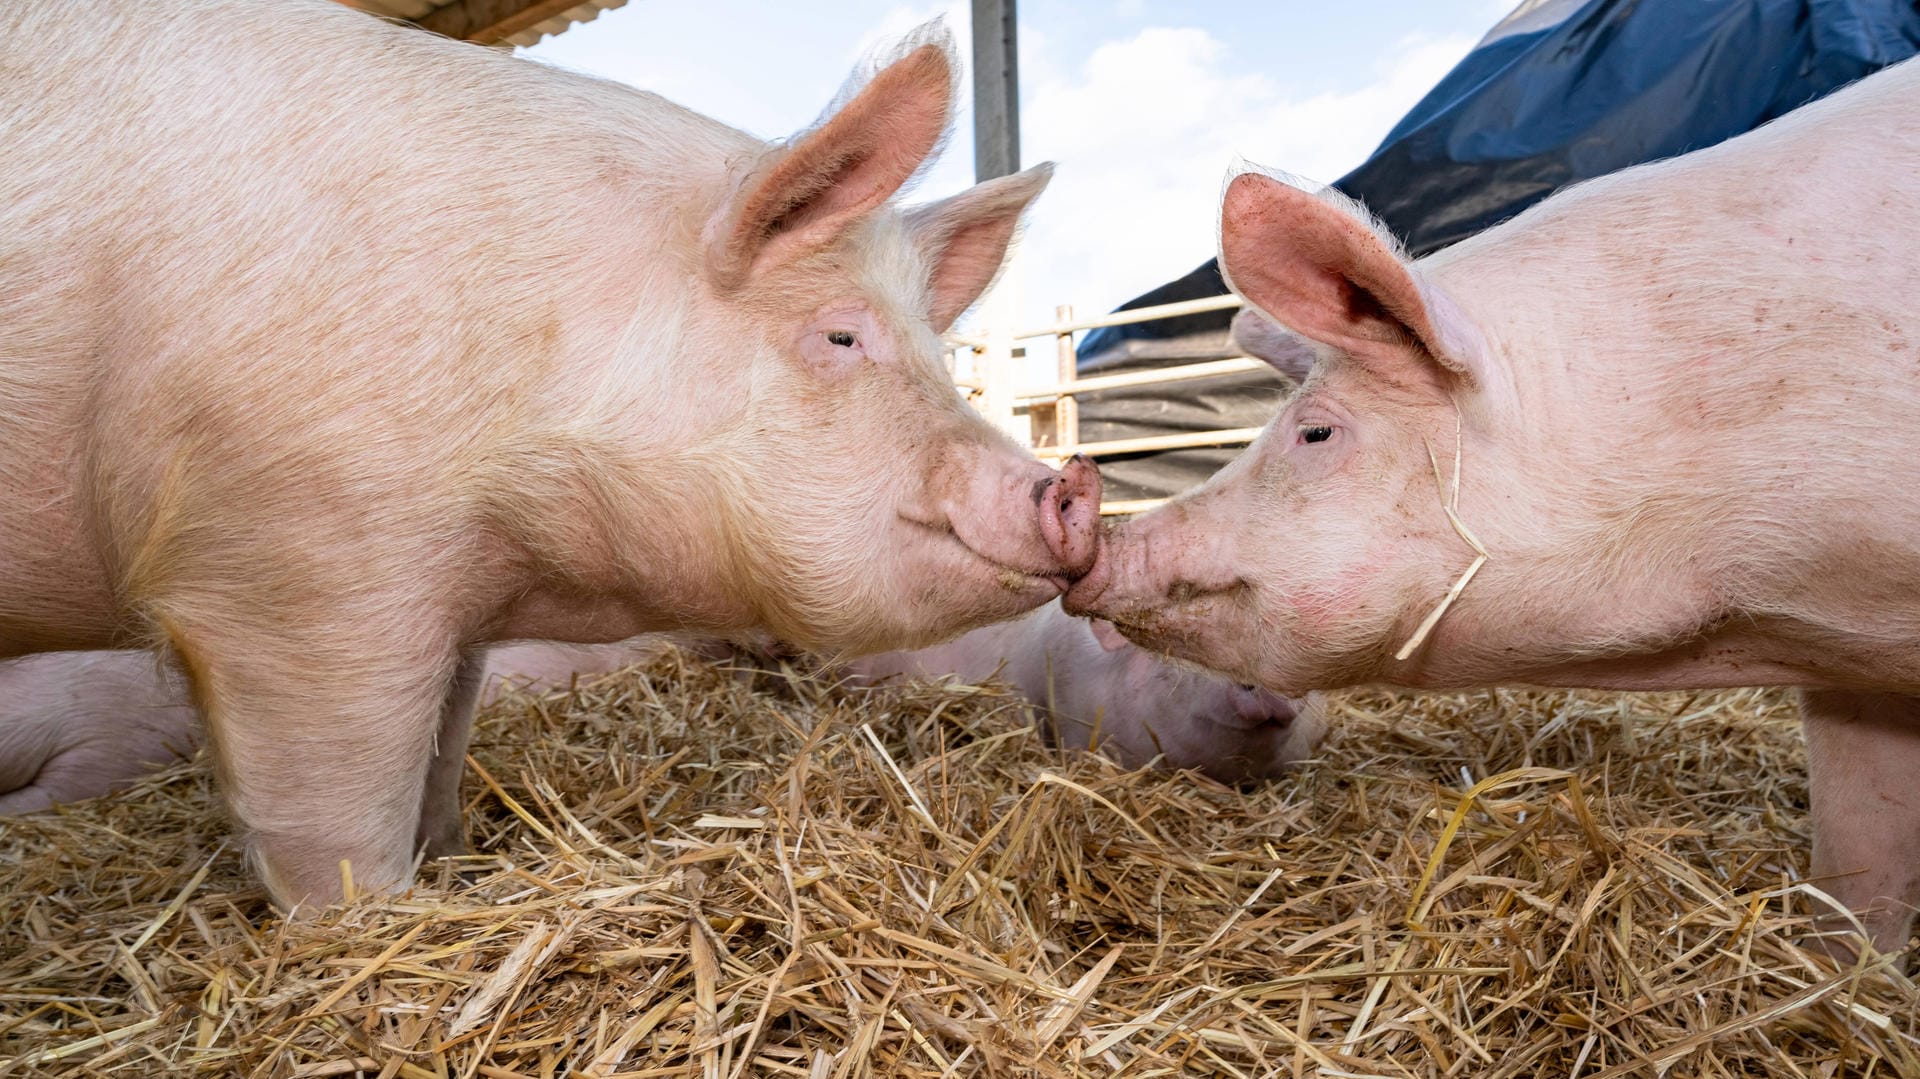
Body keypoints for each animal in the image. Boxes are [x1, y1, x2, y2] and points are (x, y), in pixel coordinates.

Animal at [0, 2, 1105, 906]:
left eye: (936, 350)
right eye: (840, 337)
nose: (1073, 488)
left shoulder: (451, 615)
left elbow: (440, 760)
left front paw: (451, 860)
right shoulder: (288, 576)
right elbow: (339, 830)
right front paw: (374, 925)